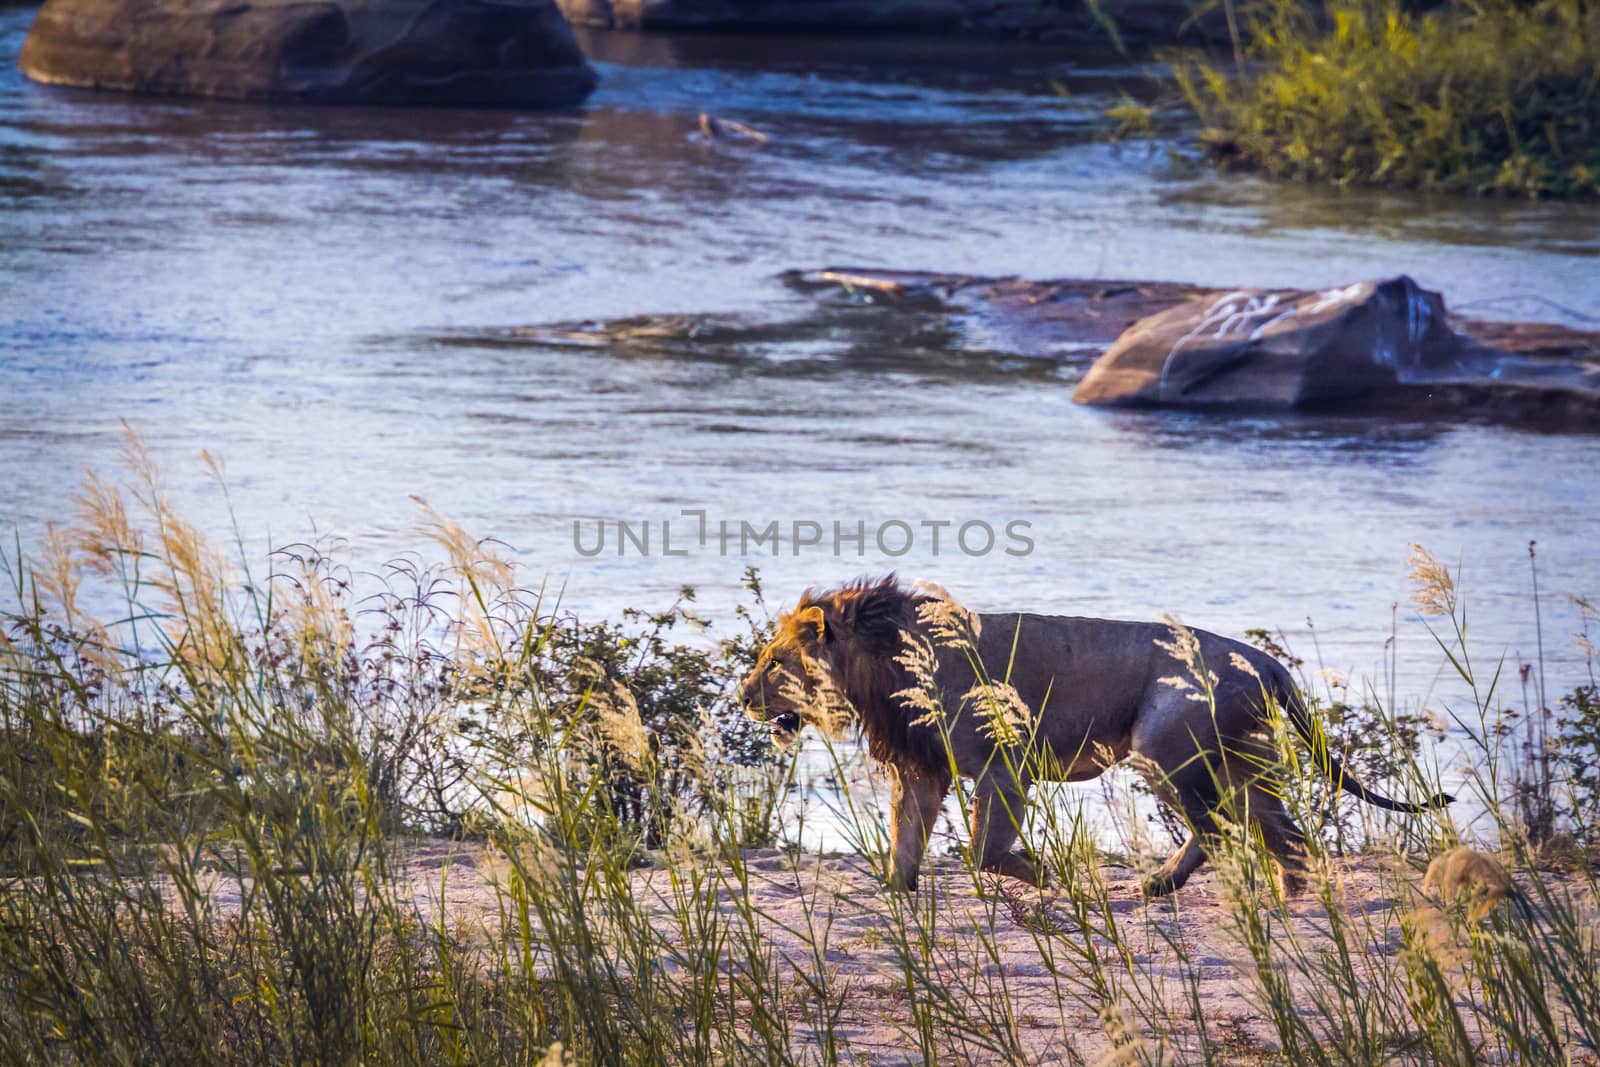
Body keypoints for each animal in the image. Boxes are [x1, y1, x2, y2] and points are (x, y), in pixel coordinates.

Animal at [736, 575, 1452, 895]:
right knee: (1285, 835)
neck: (883, 658)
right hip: (1240, 763)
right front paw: (897, 898)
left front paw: (1048, 874)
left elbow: (984, 852)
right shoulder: (920, 771)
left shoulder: (1002, 768)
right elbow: (903, 848)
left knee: (1223, 830)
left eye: (773, 662)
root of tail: (1267, 662)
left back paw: (1171, 886)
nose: (742, 697)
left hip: (1167, 750)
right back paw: (1289, 902)